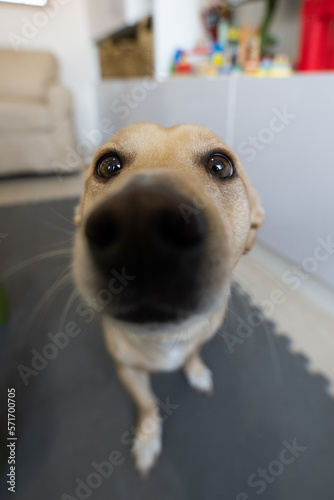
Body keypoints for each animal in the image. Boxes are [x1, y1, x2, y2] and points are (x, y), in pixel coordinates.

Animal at [72, 123, 264, 474]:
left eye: (220, 166)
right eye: (108, 165)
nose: (139, 220)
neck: (164, 337)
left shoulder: (202, 335)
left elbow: (193, 354)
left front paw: (196, 371)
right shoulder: (128, 370)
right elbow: (148, 403)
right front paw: (148, 437)